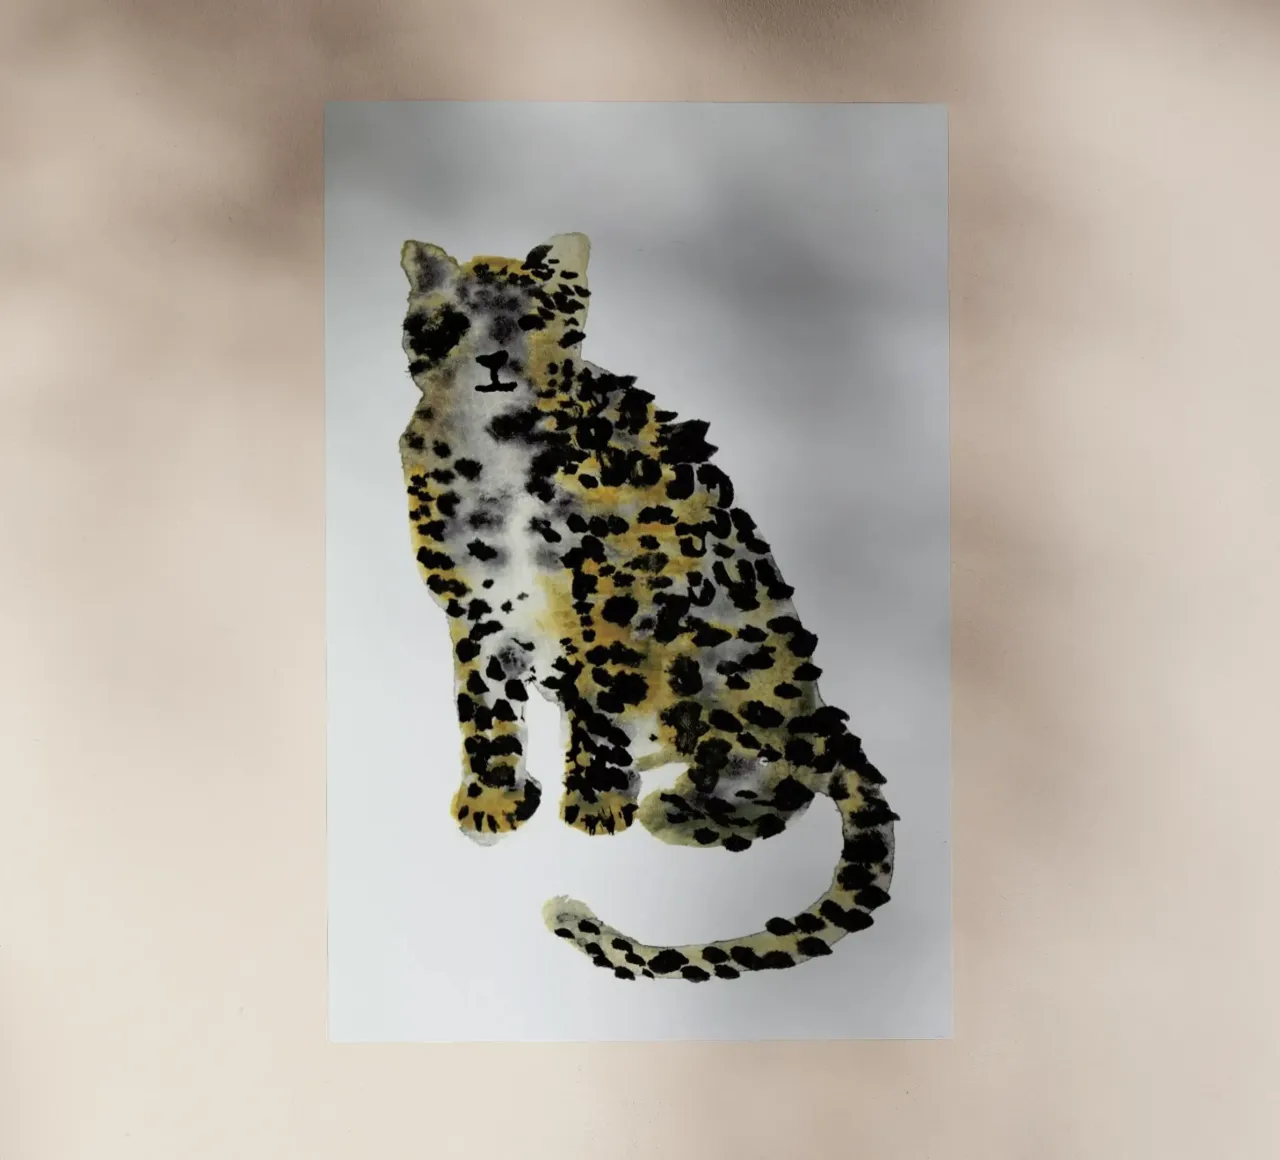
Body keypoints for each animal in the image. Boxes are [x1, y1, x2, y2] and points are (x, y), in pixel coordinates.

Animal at [396, 232, 897, 981]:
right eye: (457, 320)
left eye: (529, 320)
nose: (492, 362)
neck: (493, 448)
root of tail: (815, 713)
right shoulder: (473, 602)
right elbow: (484, 708)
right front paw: (494, 802)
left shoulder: (612, 593)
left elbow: (600, 695)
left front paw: (596, 803)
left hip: (738, 653)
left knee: (780, 775)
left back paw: (675, 810)